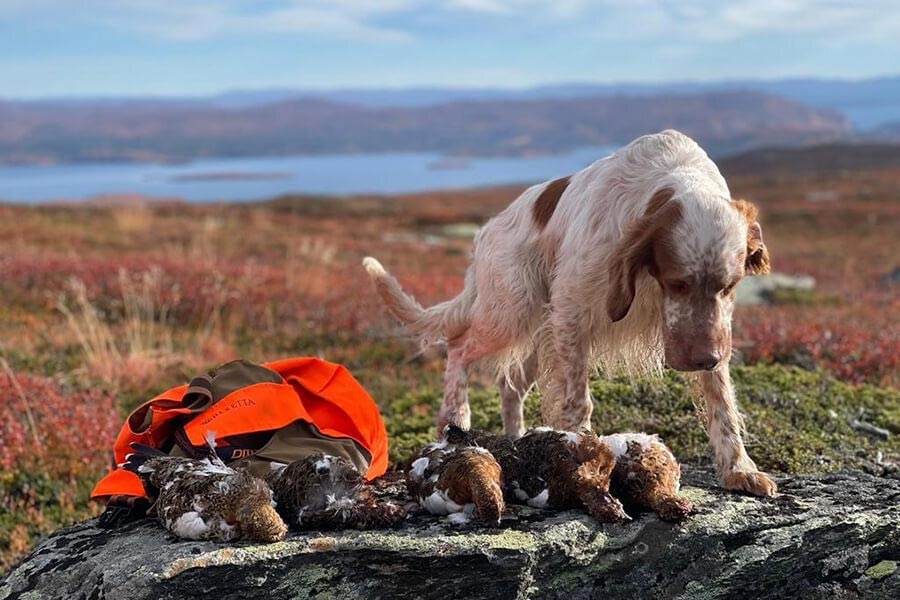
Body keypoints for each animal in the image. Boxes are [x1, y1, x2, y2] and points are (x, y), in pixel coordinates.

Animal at [362, 130, 776, 496]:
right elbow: (578, 402)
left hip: (537, 335)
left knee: (509, 386)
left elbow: (722, 404)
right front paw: (586, 465)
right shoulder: (572, 315)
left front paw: (739, 469)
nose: (705, 359)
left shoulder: (714, 330)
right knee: (459, 347)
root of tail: (484, 234)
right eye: (677, 283)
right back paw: (456, 416)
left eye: (730, 285)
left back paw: (516, 439)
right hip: (510, 313)